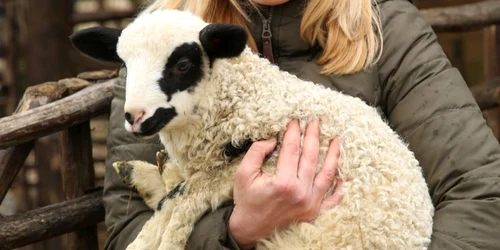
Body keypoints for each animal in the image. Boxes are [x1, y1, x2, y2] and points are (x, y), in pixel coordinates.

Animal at [70, 8, 434, 249]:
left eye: (183, 64)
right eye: (124, 64)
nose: (135, 116)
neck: (247, 102)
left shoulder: (243, 166)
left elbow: (186, 198)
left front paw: (160, 235)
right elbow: (180, 195)